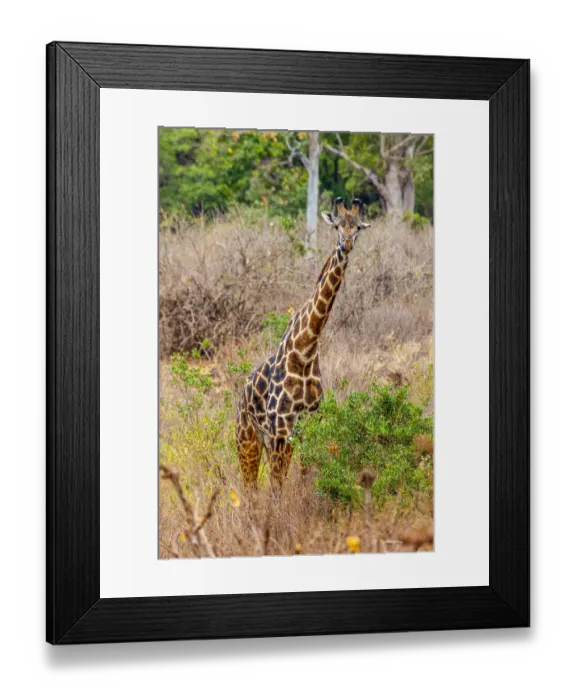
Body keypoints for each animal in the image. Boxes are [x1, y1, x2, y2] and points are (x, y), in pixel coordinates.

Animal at [236, 198, 371, 489]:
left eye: (357, 228)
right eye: (336, 226)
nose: (346, 245)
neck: (306, 351)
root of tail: (241, 397)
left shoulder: (310, 422)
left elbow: (308, 476)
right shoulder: (280, 427)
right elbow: (276, 487)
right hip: (247, 438)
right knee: (251, 487)